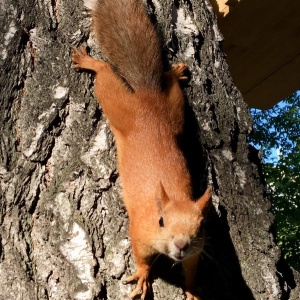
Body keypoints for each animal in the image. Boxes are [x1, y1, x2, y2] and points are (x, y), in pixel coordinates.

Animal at [72, 0, 212, 300]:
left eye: (201, 226)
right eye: (161, 221)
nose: (181, 244)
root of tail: (147, 100)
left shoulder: (197, 252)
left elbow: (191, 268)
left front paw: (192, 289)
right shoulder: (139, 231)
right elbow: (141, 256)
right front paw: (142, 275)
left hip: (175, 110)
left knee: (170, 86)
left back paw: (176, 72)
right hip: (117, 105)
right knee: (104, 75)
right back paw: (90, 63)